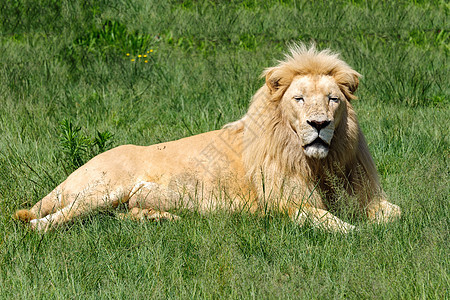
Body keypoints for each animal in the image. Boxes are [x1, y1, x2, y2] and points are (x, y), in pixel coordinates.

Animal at [14, 43, 400, 233]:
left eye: (333, 99)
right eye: (299, 99)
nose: (319, 124)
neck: (318, 163)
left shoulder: (361, 192)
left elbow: (396, 214)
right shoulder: (283, 204)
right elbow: (329, 223)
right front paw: (358, 233)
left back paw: (160, 219)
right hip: (102, 189)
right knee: (45, 221)